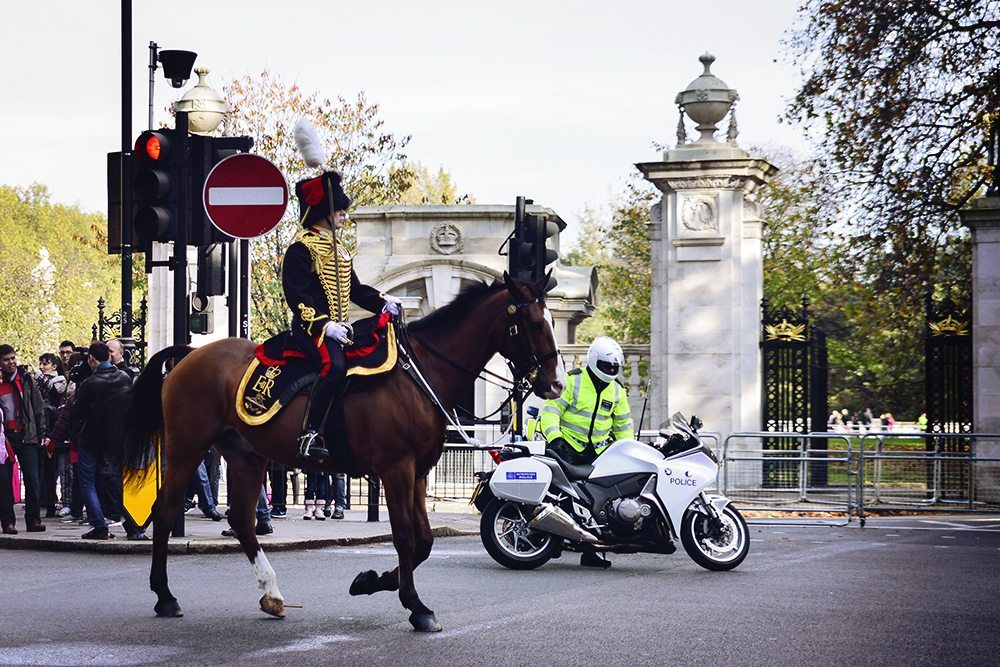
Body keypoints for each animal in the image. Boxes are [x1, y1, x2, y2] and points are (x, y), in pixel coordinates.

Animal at [119, 274, 564, 636]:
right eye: (534, 323)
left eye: (552, 320)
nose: (555, 384)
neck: (418, 375)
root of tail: (190, 354)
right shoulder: (396, 469)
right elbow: (405, 537)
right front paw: (415, 607)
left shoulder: (418, 472)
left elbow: (423, 541)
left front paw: (371, 581)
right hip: (186, 446)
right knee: (165, 511)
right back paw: (165, 596)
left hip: (247, 455)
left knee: (242, 520)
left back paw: (271, 595)